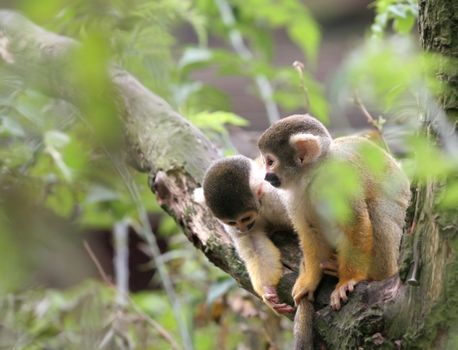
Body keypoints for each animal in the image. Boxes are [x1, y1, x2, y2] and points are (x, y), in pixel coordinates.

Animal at [258, 113, 412, 310]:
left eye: (270, 162)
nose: (266, 176)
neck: (314, 176)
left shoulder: (339, 180)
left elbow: (356, 223)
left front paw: (348, 280)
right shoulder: (294, 195)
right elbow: (310, 230)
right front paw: (310, 280)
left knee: (377, 209)